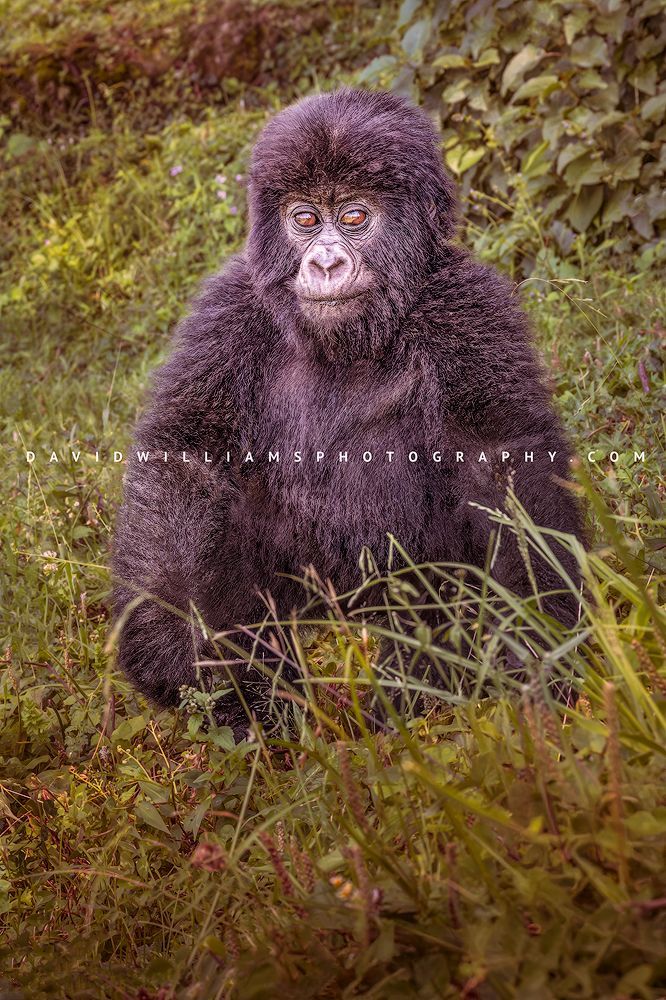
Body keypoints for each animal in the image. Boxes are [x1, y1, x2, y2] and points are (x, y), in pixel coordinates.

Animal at [112, 88, 584, 736]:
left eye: (355, 218)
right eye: (306, 219)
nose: (326, 264)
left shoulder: (469, 307)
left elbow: (503, 457)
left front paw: (535, 633)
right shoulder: (228, 307)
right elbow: (187, 456)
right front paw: (182, 646)